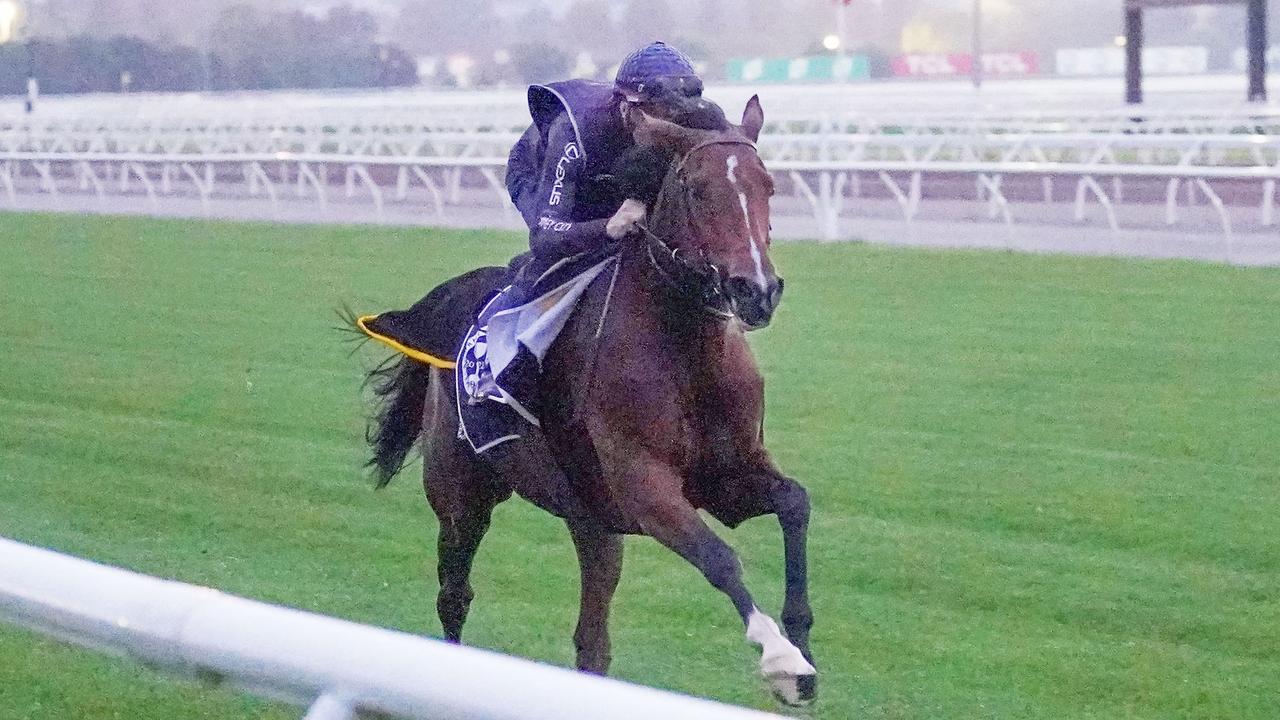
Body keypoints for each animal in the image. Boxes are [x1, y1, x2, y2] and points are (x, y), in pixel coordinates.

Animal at [360, 98, 819, 702]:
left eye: (768, 186)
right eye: (697, 190)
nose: (758, 291)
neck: (685, 352)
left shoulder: (728, 478)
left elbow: (795, 503)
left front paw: (802, 641)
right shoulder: (643, 487)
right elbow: (720, 558)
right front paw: (781, 658)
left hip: (592, 523)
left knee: (591, 643)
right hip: (461, 498)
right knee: (454, 596)